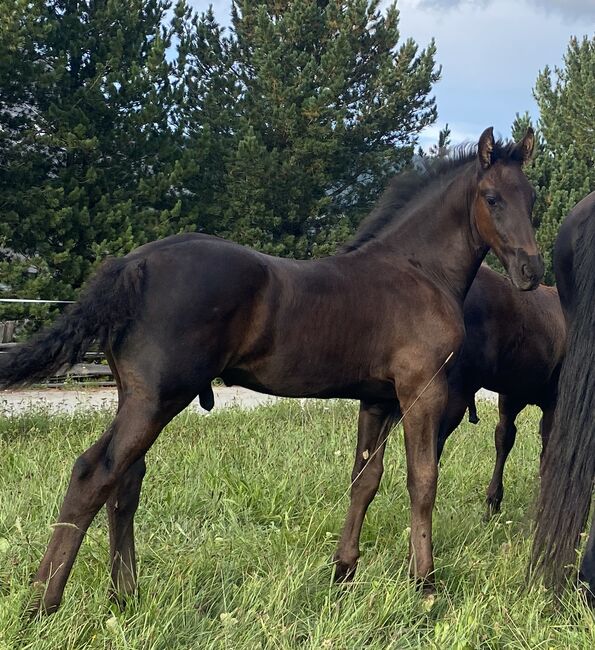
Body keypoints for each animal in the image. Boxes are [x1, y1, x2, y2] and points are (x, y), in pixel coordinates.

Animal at [0, 127, 542, 614]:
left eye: (532, 198)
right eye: (492, 198)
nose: (531, 273)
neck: (418, 270)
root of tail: (134, 265)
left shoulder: (378, 398)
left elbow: (364, 480)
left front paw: (343, 572)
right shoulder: (420, 391)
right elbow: (423, 479)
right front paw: (425, 586)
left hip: (138, 397)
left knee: (125, 482)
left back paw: (124, 597)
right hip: (157, 398)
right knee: (94, 475)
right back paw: (42, 604)